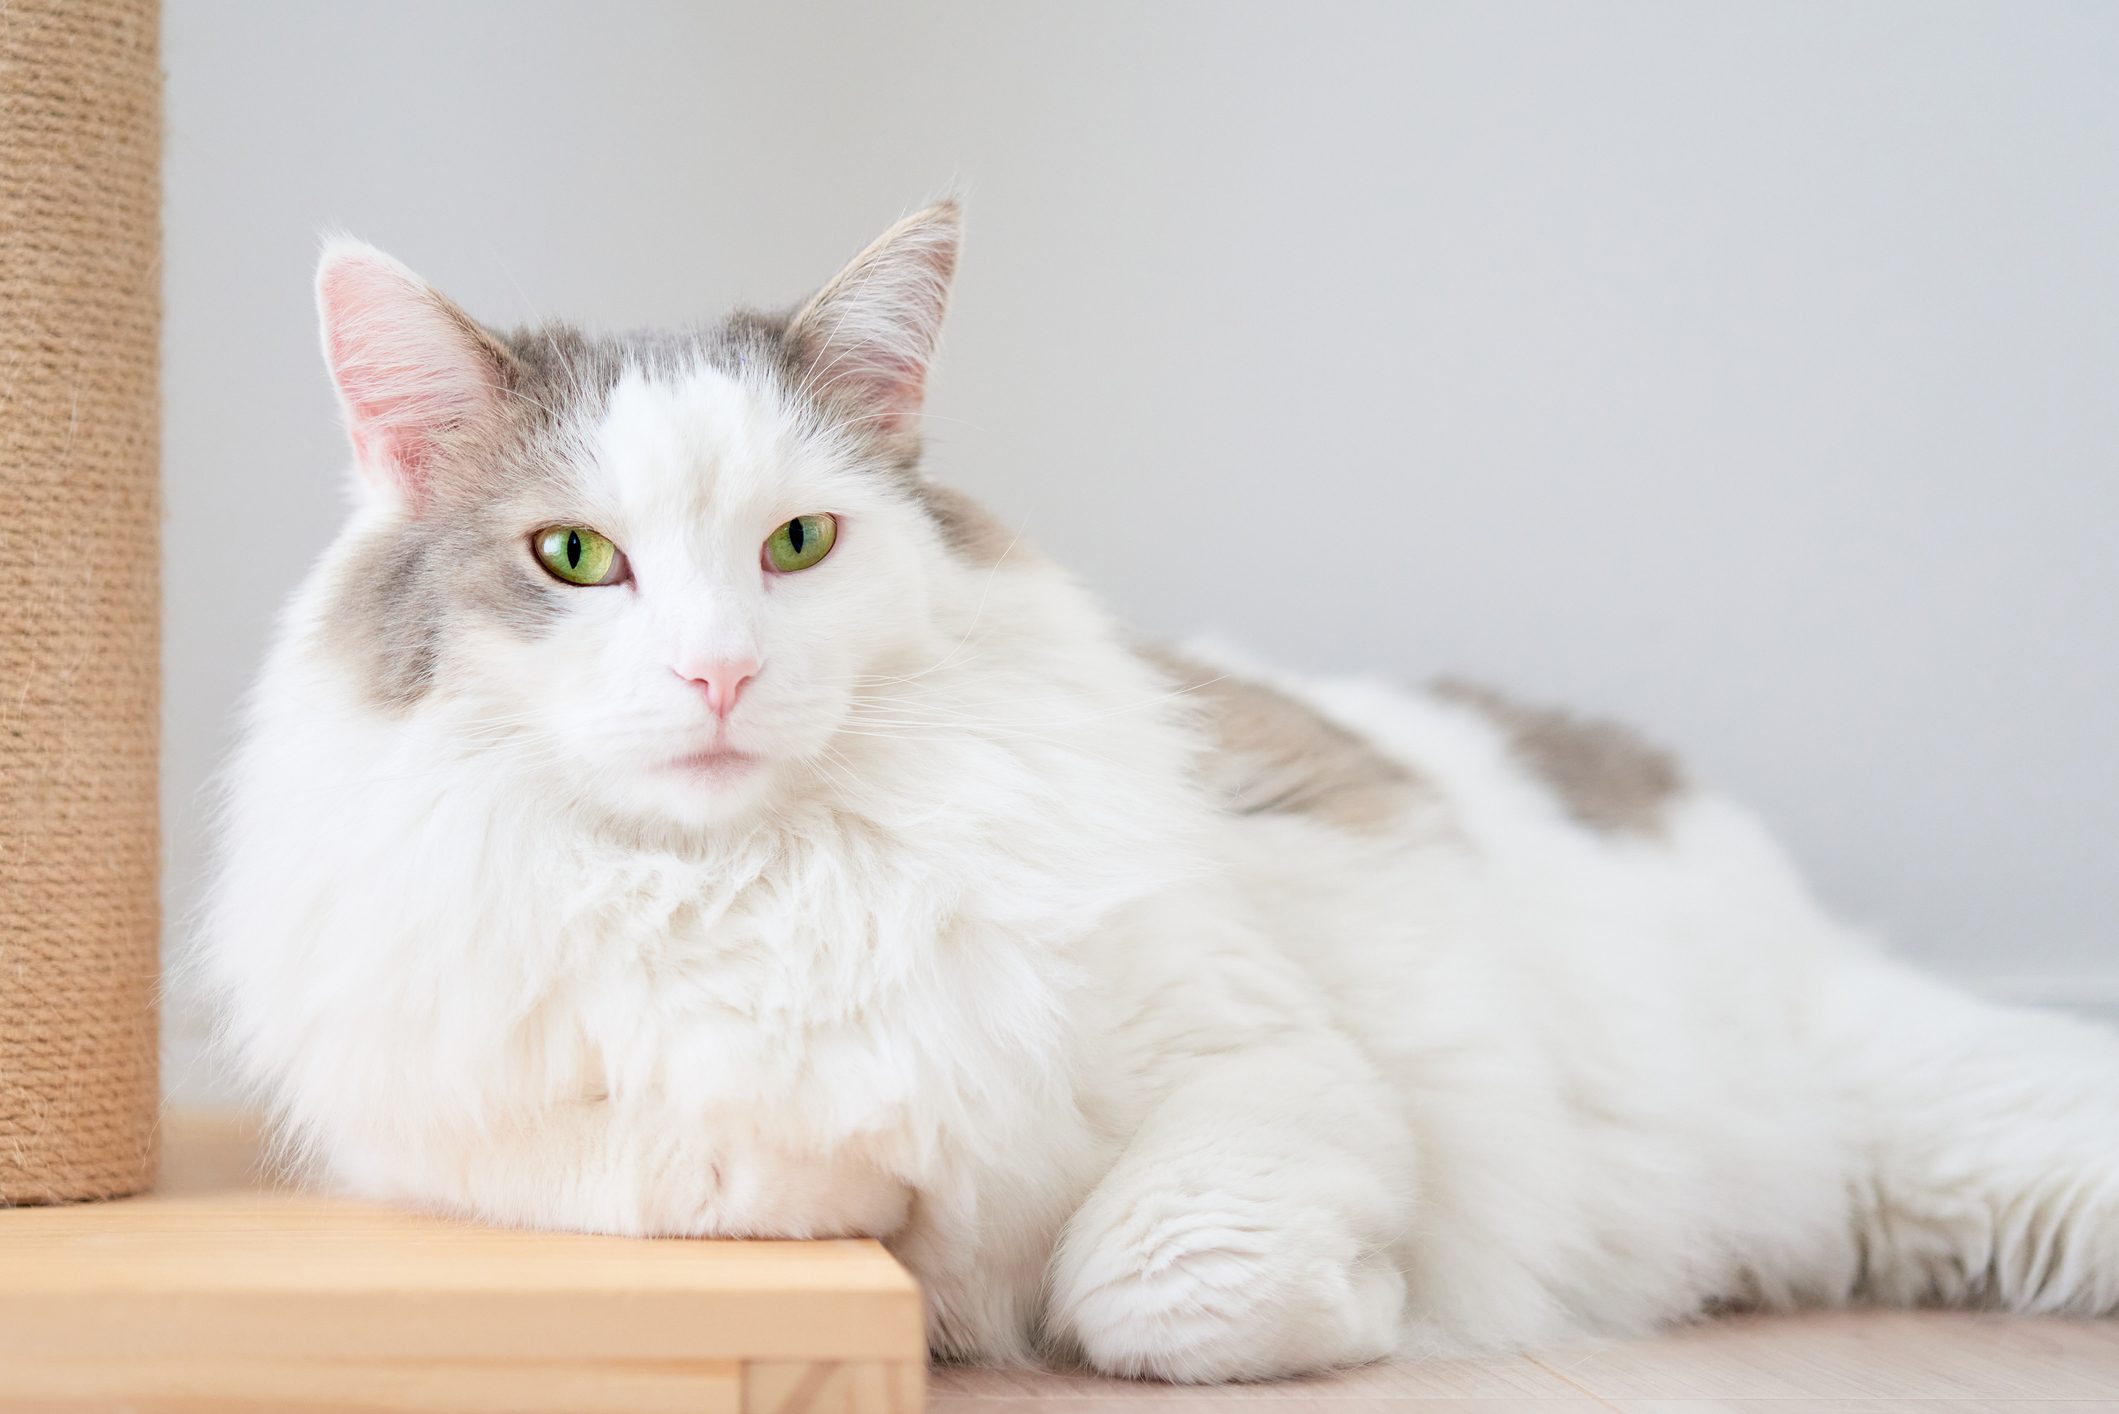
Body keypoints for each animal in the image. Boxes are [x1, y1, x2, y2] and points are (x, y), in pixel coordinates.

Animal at [202, 201, 2119, 1382]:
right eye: (574, 557)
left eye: (796, 544)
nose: (717, 676)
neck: (760, 875)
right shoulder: (461, 1131)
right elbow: (717, 1160)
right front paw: (865, 1186)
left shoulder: (1262, 1061)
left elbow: (1166, 1280)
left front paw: (1366, 1310)